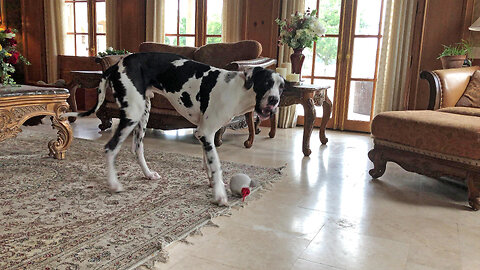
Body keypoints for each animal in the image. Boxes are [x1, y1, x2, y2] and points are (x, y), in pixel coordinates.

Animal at [62, 52, 284, 205]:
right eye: (266, 82)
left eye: (281, 87)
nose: (274, 100)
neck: (237, 90)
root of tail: (115, 65)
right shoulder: (206, 133)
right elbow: (216, 166)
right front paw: (220, 195)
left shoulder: (204, 134)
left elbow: (208, 162)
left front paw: (213, 184)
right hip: (132, 115)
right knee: (110, 148)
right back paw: (114, 184)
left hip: (143, 113)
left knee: (137, 148)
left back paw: (148, 174)